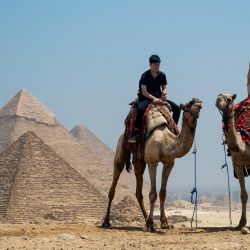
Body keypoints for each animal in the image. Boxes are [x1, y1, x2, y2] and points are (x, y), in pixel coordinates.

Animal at [102, 97, 202, 230]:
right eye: (190, 104)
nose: (199, 102)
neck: (166, 141)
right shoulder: (152, 162)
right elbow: (153, 193)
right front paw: (151, 224)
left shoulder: (169, 163)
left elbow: (163, 193)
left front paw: (164, 223)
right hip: (122, 145)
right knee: (115, 176)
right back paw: (106, 221)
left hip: (139, 160)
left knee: (139, 190)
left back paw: (145, 220)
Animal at [215, 92, 250, 229]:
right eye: (220, 95)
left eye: (229, 99)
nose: (218, 100)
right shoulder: (237, 165)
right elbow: (243, 195)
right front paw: (241, 223)